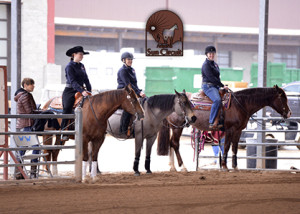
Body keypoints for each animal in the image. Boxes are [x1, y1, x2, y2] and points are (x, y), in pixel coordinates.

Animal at [158, 86, 292, 171]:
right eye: (283, 98)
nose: (289, 113)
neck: (240, 103)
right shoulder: (230, 130)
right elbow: (227, 146)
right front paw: (224, 166)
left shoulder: (238, 131)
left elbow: (234, 148)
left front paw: (235, 167)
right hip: (177, 127)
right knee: (175, 143)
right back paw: (182, 167)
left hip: (175, 127)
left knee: (171, 143)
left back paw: (172, 167)